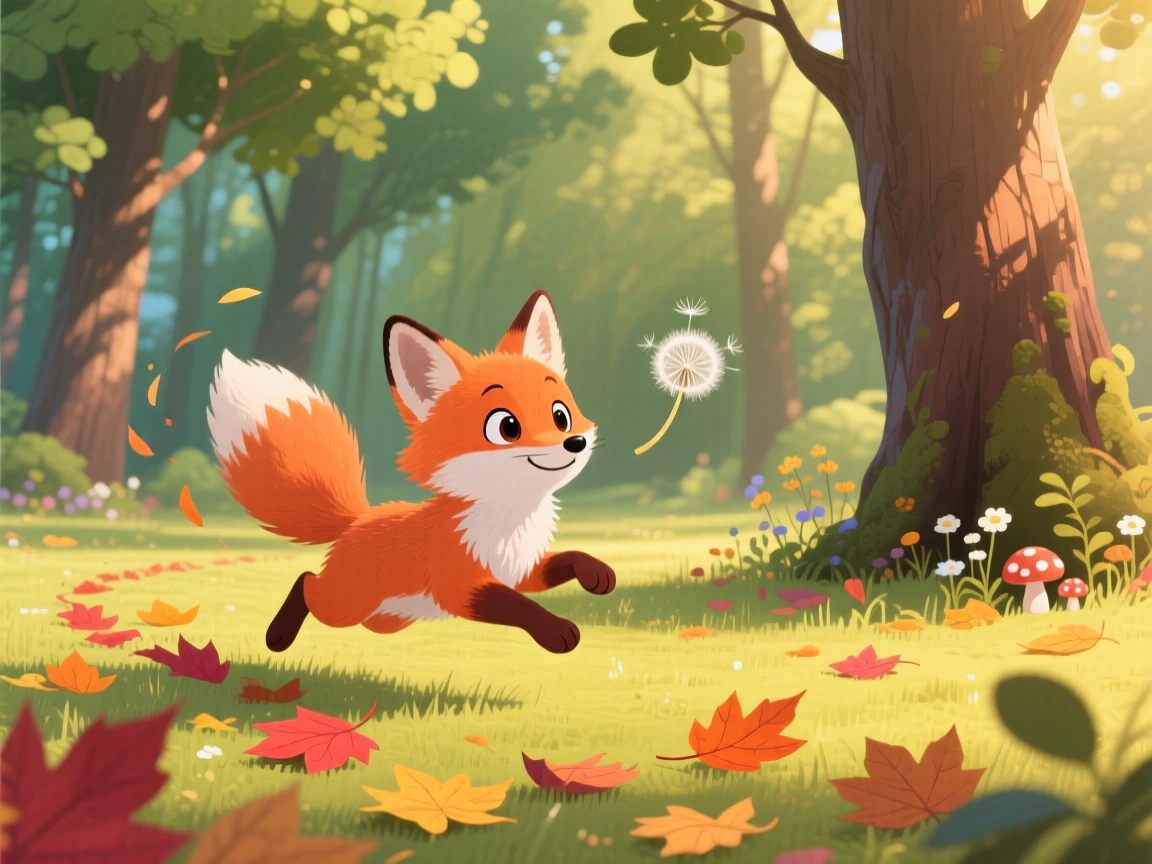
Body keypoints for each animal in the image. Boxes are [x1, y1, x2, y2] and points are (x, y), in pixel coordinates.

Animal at [206, 290, 615, 654]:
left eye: (560, 415)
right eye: (506, 427)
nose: (575, 442)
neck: (510, 523)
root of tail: (355, 521)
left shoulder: (522, 569)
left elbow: (565, 559)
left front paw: (596, 572)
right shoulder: (462, 587)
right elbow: (517, 605)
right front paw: (556, 630)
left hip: (384, 619)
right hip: (343, 607)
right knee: (306, 582)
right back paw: (277, 635)